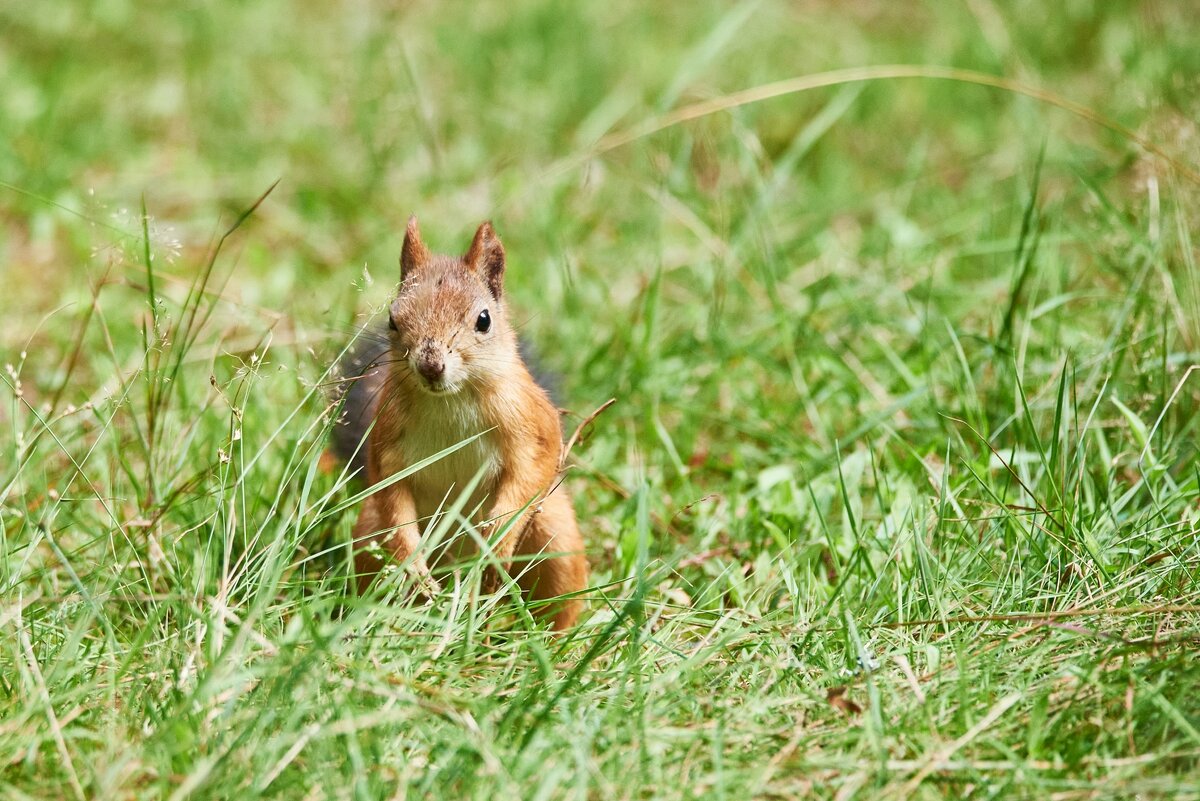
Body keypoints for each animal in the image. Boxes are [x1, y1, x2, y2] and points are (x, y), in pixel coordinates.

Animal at [328, 215, 590, 628]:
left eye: (484, 320)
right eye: (393, 318)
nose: (430, 365)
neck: (450, 401)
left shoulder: (532, 425)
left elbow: (532, 472)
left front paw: (495, 540)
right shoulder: (386, 440)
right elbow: (390, 492)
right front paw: (414, 566)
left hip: (556, 536)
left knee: (558, 601)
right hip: (369, 539)